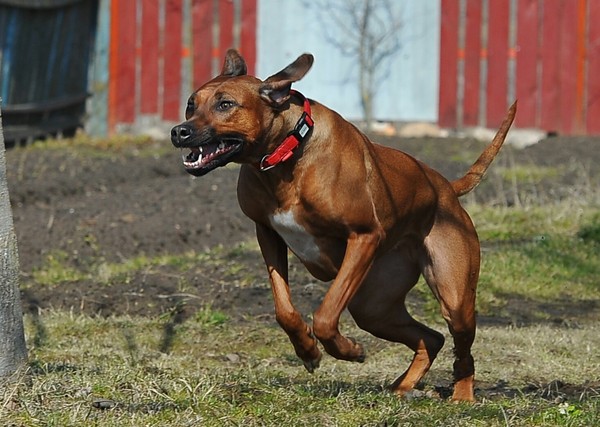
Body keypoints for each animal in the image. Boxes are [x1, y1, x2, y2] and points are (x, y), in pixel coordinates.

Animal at [170, 49, 516, 402]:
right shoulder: (267, 233)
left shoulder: (363, 237)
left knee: (461, 346)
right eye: (190, 104)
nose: (179, 132)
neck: (287, 153)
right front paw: (308, 350)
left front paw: (347, 350)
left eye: (225, 104)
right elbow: (284, 310)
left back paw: (462, 395)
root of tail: (445, 187)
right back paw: (402, 386)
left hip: (454, 295)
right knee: (431, 338)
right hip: (374, 306)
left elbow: (325, 315)